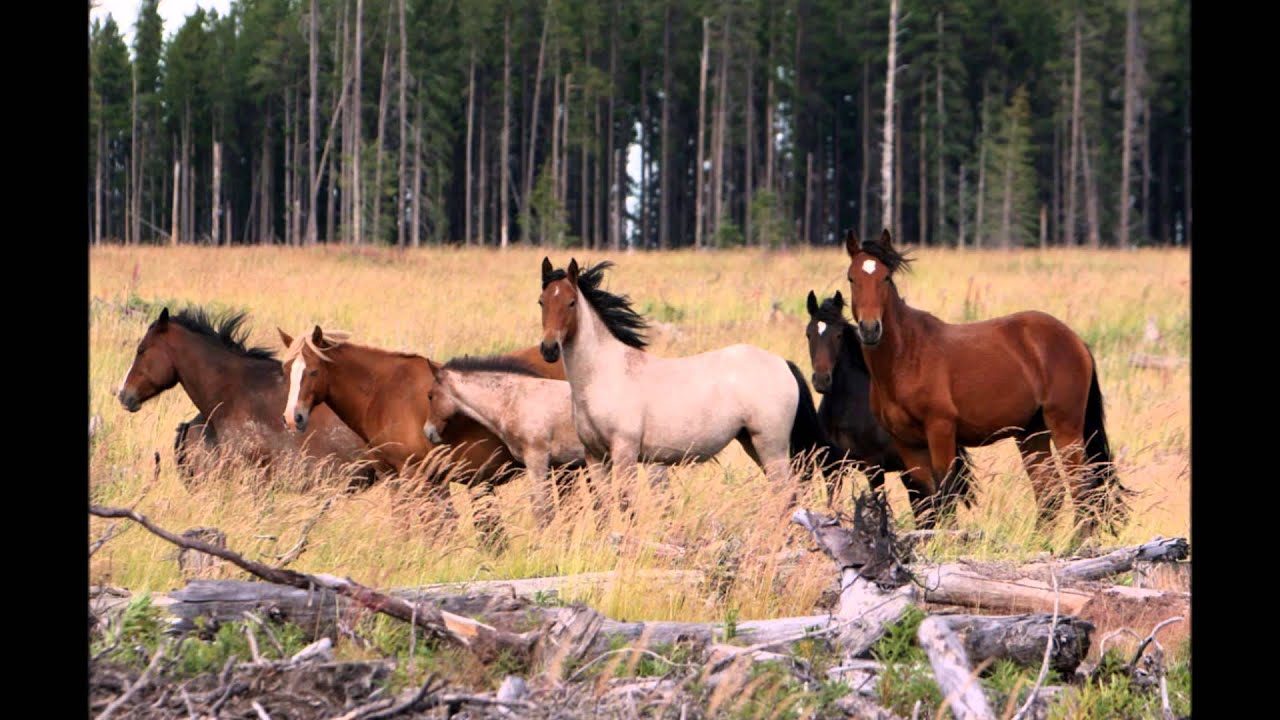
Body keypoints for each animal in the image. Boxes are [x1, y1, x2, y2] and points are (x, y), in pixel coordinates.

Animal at [803, 285, 972, 515]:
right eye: (809, 334)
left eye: (838, 335)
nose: (821, 380)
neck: (848, 411)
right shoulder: (832, 468)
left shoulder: (874, 468)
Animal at [839, 226, 1131, 535]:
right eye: (851, 278)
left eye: (885, 277)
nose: (870, 329)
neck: (905, 357)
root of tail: (1074, 340)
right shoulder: (907, 444)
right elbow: (925, 500)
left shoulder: (941, 431)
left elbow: (946, 495)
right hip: (1032, 433)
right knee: (1049, 490)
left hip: (1066, 427)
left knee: (1081, 486)